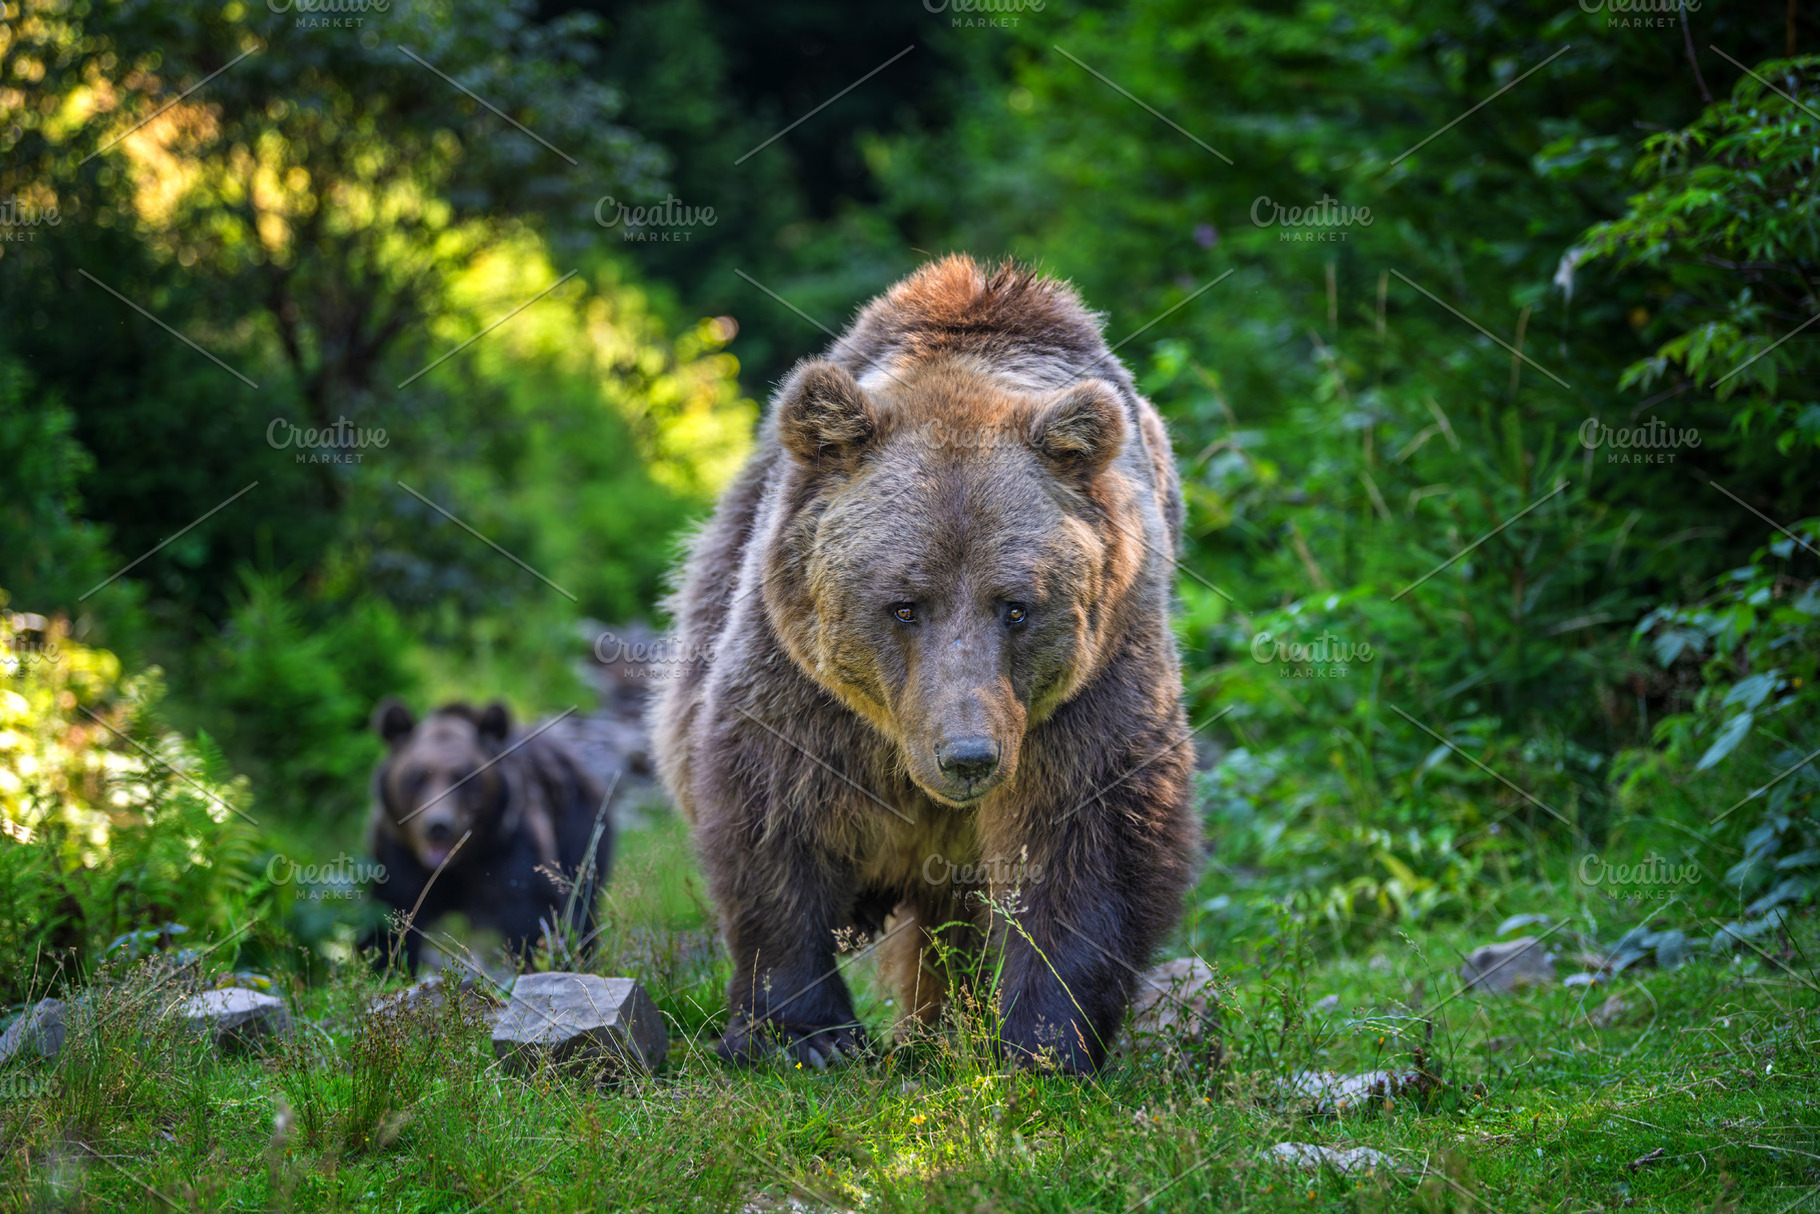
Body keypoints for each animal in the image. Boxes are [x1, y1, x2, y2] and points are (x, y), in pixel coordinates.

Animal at [364, 699, 614, 974]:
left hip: (581, 829)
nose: (438, 825)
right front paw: (387, 964)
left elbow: (530, 913)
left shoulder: (509, 851)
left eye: (463, 777)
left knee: (582, 899)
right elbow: (394, 912)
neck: (458, 863)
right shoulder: (398, 854)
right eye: (419, 776)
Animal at [652, 255, 1199, 1072]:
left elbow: (1092, 836)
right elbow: (772, 812)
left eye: (1016, 606)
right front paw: (805, 1034)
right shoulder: (800, 680)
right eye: (904, 604)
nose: (967, 756)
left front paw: (1043, 1040)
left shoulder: (1097, 678)